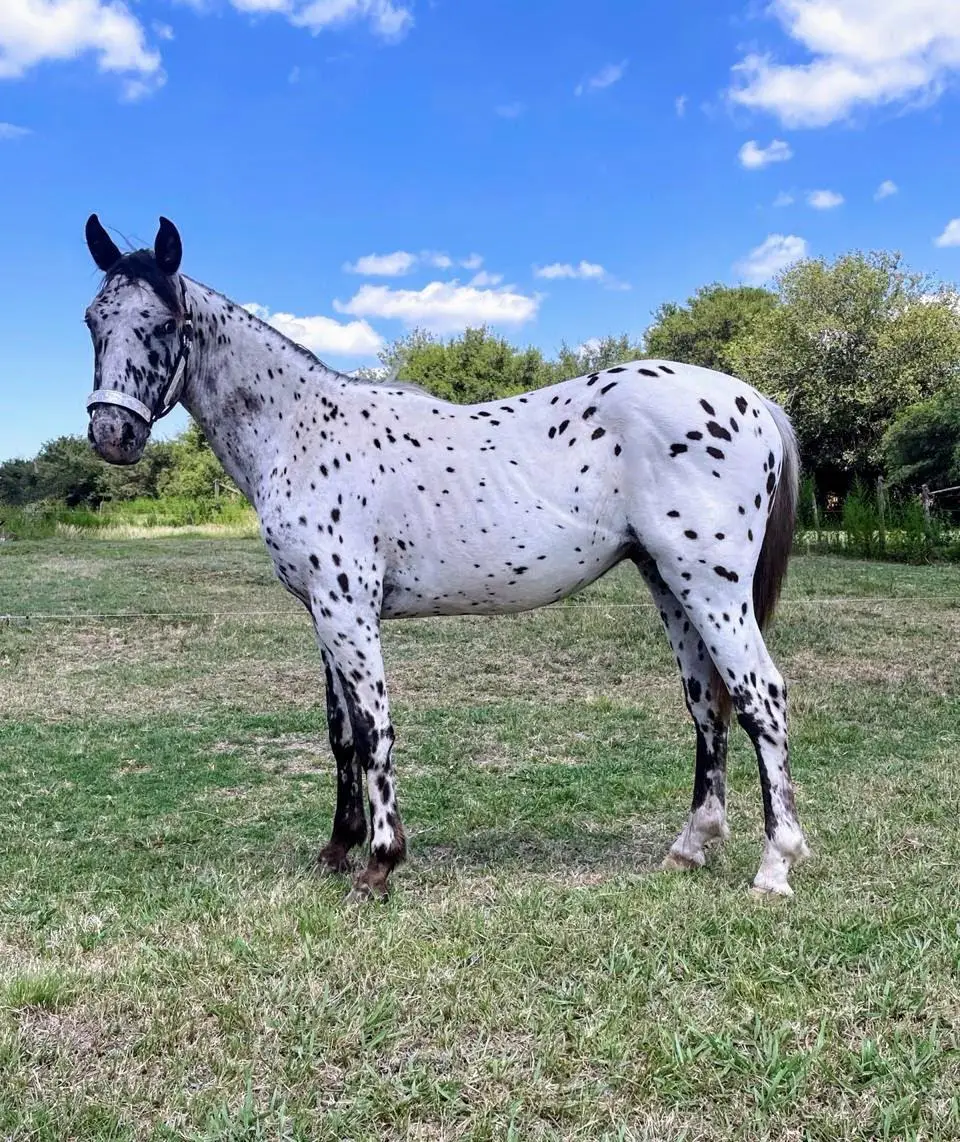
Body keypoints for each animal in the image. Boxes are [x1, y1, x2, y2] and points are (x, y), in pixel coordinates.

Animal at [82, 214, 809, 901]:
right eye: (93, 320)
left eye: (165, 322)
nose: (112, 433)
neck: (301, 431)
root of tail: (751, 399)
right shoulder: (321, 614)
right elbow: (340, 733)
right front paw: (337, 848)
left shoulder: (348, 610)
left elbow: (373, 730)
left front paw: (379, 864)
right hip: (671, 586)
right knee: (707, 705)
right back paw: (690, 847)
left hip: (713, 590)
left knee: (761, 700)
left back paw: (775, 866)